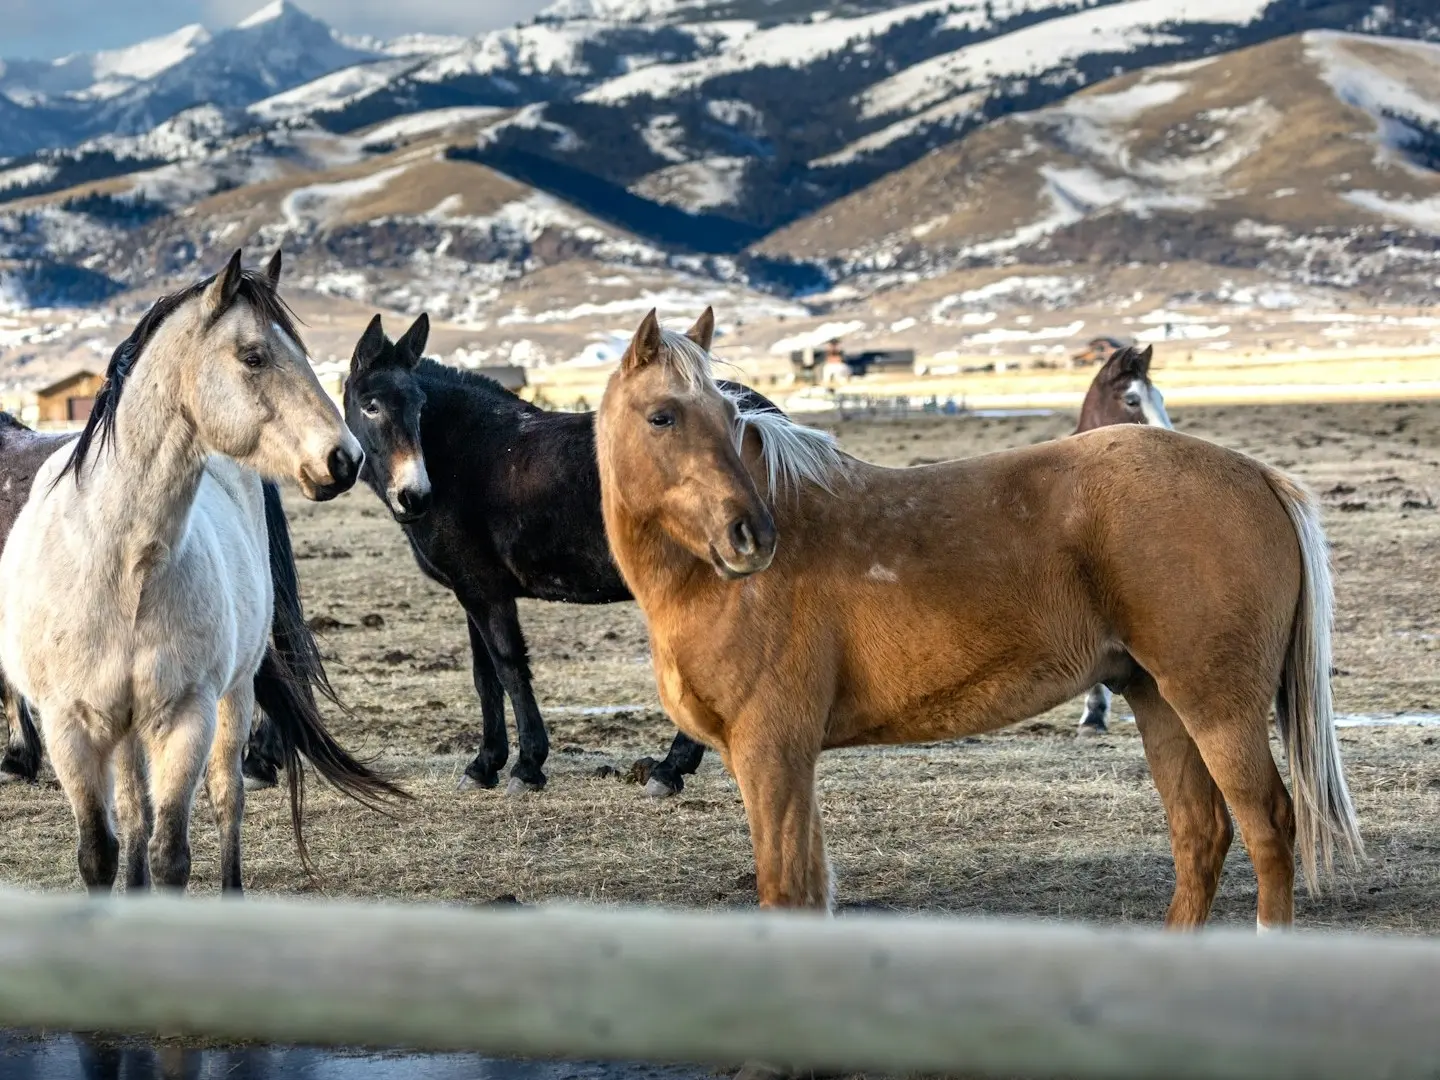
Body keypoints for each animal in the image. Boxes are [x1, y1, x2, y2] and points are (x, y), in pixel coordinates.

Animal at [1, 253, 406, 898]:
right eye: (253, 356)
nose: (345, 459)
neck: (120, 566)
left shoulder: (186, 716)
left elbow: (172, 853)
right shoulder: (71, 724)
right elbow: (101, 852)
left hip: (232, 698)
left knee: (225, 799)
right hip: (126, 728)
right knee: (133, 816)